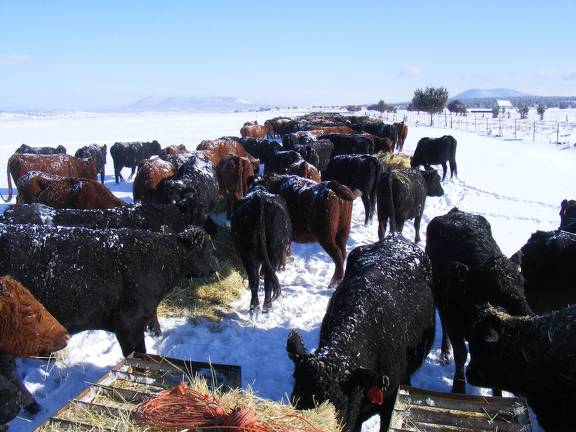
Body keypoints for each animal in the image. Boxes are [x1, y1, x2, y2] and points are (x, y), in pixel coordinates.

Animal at [426, 208, 532, 394]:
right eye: (494, 292)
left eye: (523, 283)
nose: (527, 314)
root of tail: (456, 212)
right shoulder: (453, 319)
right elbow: (461, 353)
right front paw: (458, 388)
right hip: (441, 302)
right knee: (444, 327)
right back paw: (445, 353)